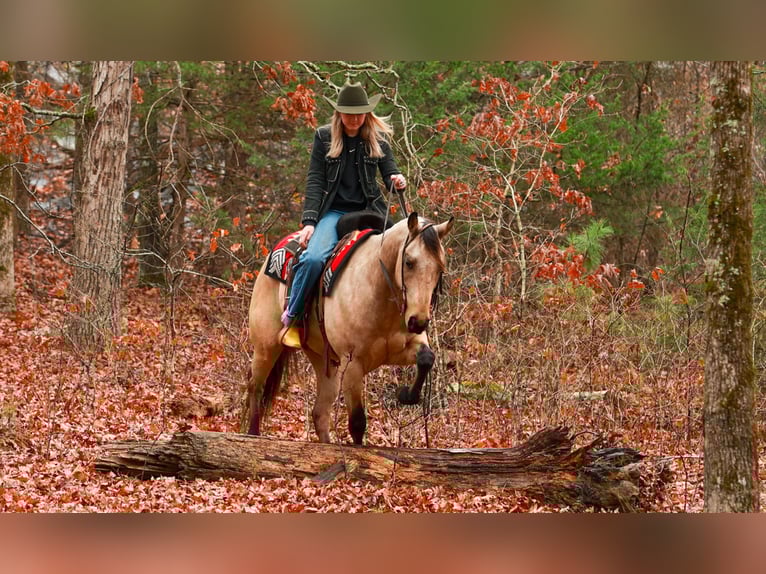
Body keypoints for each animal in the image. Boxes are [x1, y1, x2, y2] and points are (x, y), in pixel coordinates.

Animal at [245, 211, 454, 445]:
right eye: (409, 262)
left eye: (440, 268)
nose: (418, 321)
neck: (377, 288)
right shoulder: (352, 364)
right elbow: (357, 423)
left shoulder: (402, 349)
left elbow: (426, 358)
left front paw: (407, 395)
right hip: (266, 347)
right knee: (255, 387)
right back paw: (252, 435)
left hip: (324, 362)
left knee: (319, 413)